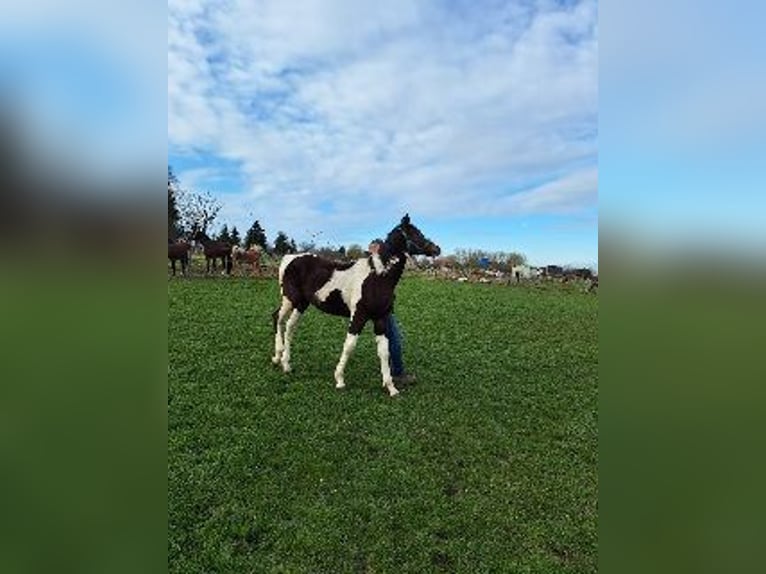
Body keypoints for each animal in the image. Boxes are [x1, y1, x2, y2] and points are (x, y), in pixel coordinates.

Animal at [271, 214, 440, 397]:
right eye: (415, 233)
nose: (436, 249)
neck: (377, 277)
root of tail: (289, 258)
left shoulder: (380, 318)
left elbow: (384, 351)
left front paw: (391, 388)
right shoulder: (359, 316)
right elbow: (349, 346)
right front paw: (339, 379)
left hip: (302, 303)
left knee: (289, 327)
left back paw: (285, 363)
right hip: (290, 299)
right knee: (278, 318)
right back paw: (278, 357)